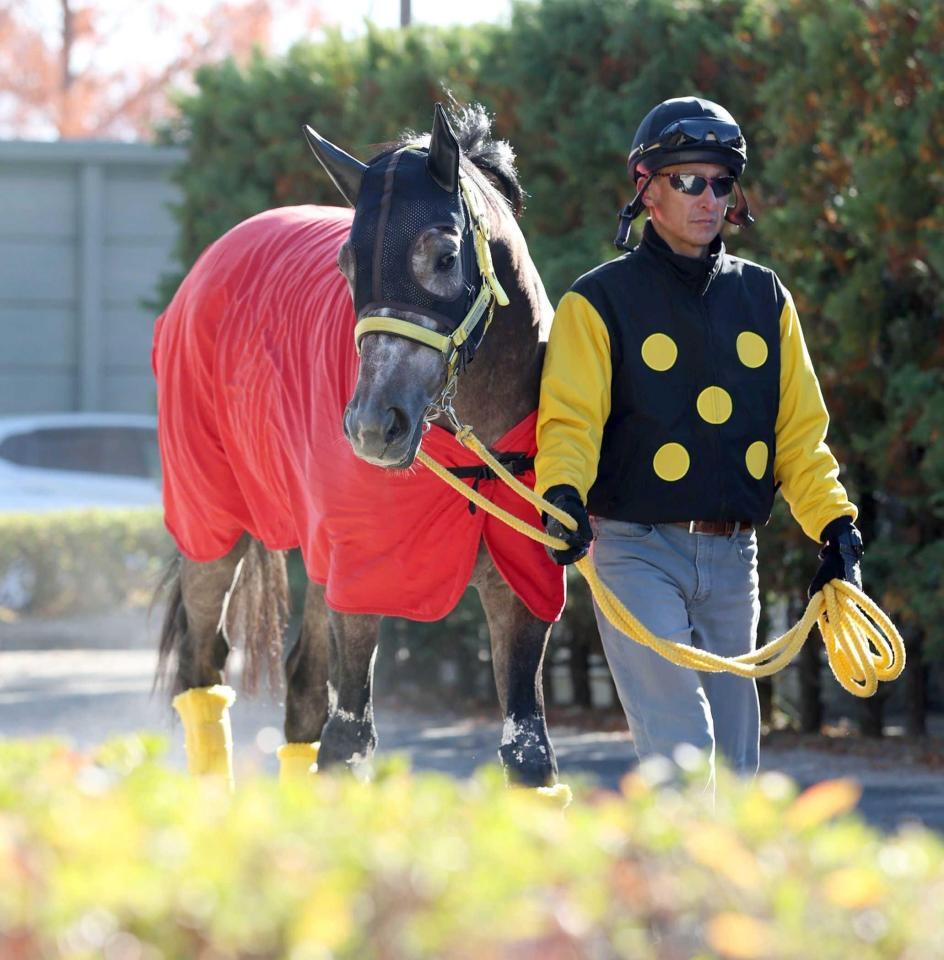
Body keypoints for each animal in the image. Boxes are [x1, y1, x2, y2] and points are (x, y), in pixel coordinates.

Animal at [153, 103, 564, 788]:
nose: (373, 426)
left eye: (445, 256)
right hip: (211, 524)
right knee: (203, 669)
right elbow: (347, 741)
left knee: (299, 693)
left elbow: (528, 754)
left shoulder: (520, 585)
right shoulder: (359, 578)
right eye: (346, 265)